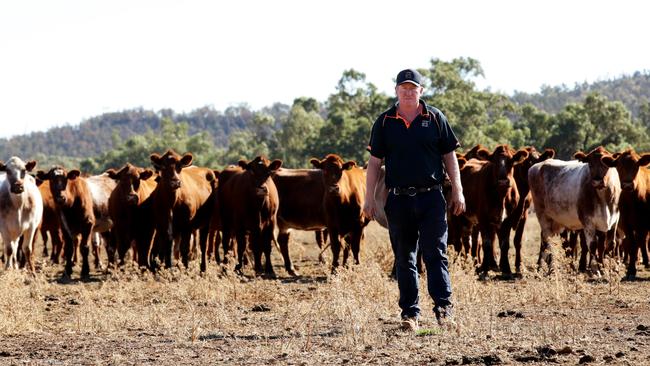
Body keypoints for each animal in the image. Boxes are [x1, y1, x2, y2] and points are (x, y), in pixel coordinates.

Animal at [600, 147, 648, 278]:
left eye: (636, 165)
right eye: (618, 166)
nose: (627, 185)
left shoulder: (642, 224)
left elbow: (638, 242)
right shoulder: (627, 224)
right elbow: (631, 244)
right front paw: (631, 269)